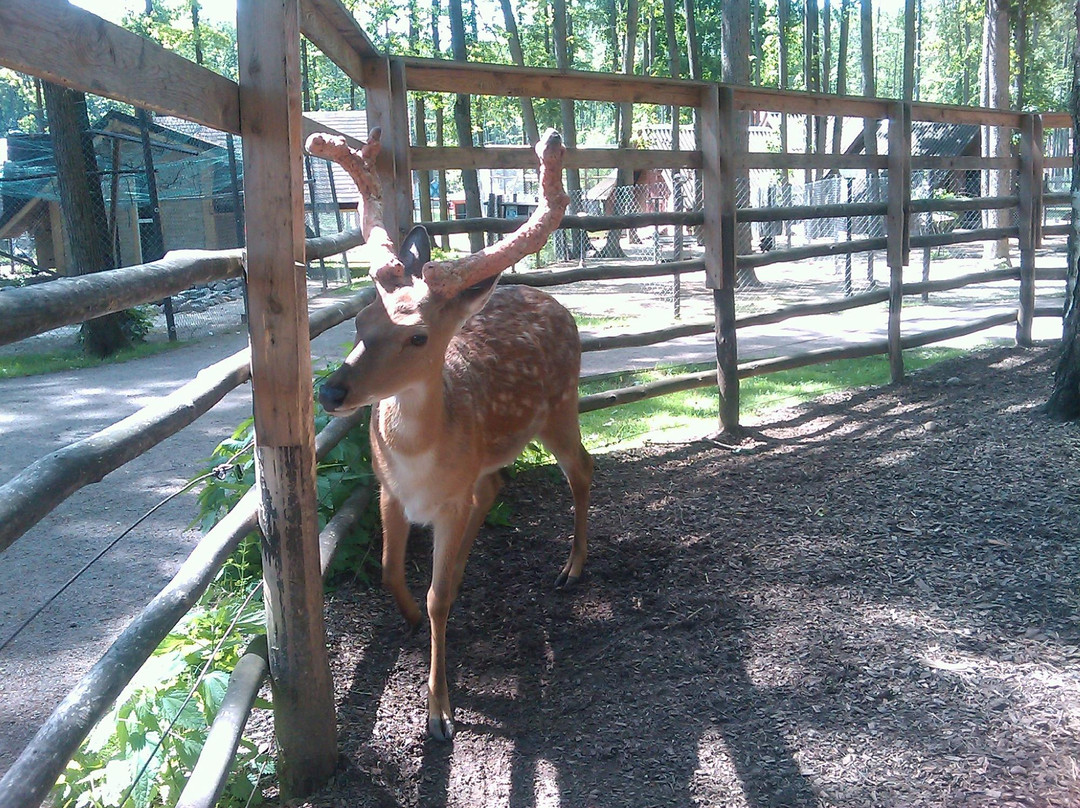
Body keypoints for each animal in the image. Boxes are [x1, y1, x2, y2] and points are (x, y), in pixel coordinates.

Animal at [304, 124, 596, 738]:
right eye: (361, 320)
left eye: (417, 336)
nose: (331, 393)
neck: (418, 460)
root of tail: (554, 301)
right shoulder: (388, 491)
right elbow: (390, 570)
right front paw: (412, 617)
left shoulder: (447, 499)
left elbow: (439, 597)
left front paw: (440, 711)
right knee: (497, 485)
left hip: (561, 406)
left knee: (581, 468)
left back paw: (572, 567)